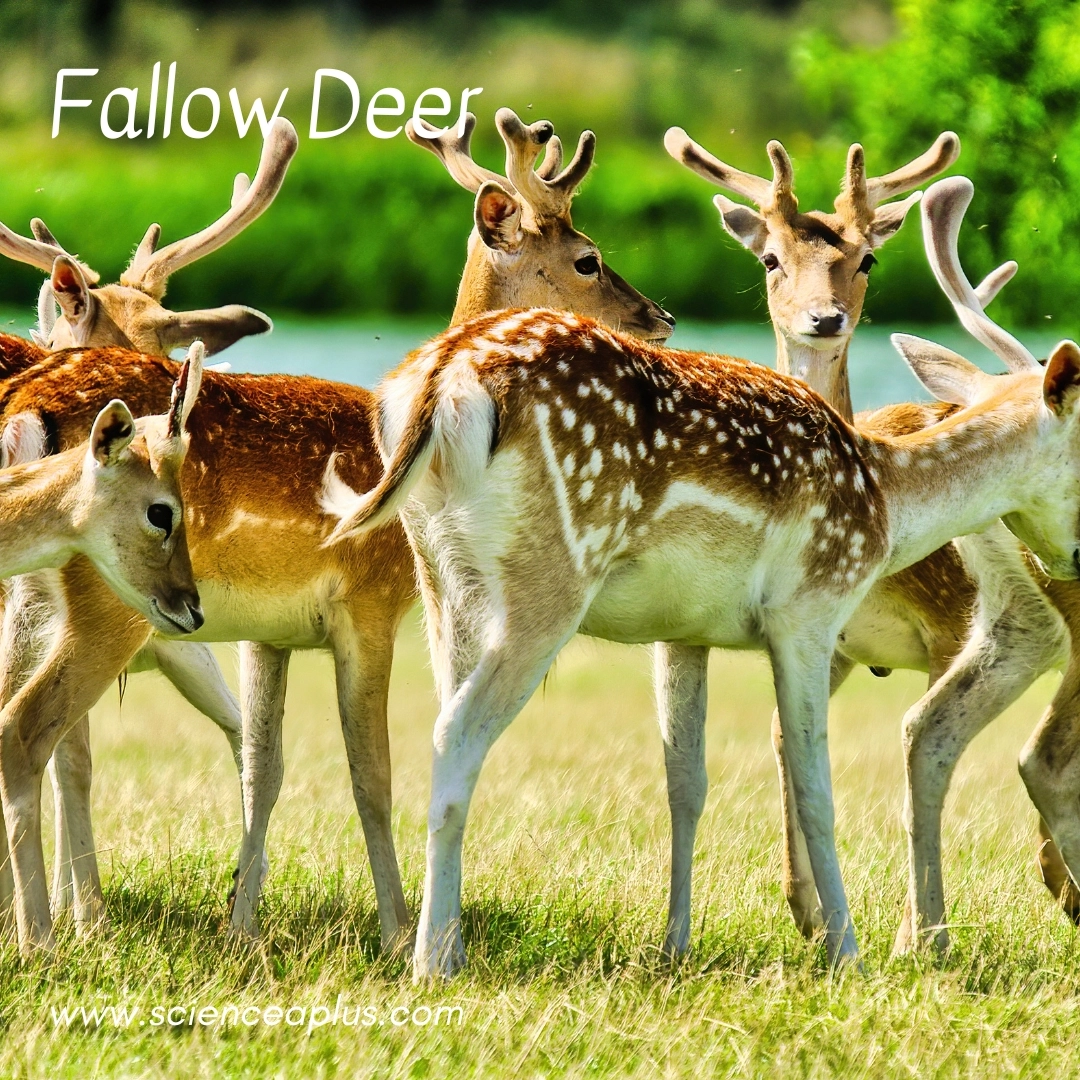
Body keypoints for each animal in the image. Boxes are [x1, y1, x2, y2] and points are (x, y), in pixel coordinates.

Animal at [324, 280, 1080, 978]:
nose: (1071, 561)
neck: (886, 506)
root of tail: (443, 374)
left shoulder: (683, 629)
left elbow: (684, 781)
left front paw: (673, 947)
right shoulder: (810, 608)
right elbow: (817, 788)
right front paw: (848, 957)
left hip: (443, 575)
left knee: (441, 717)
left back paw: (439, 944)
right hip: (550, 576)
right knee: (455, 735)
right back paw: (433, 963)